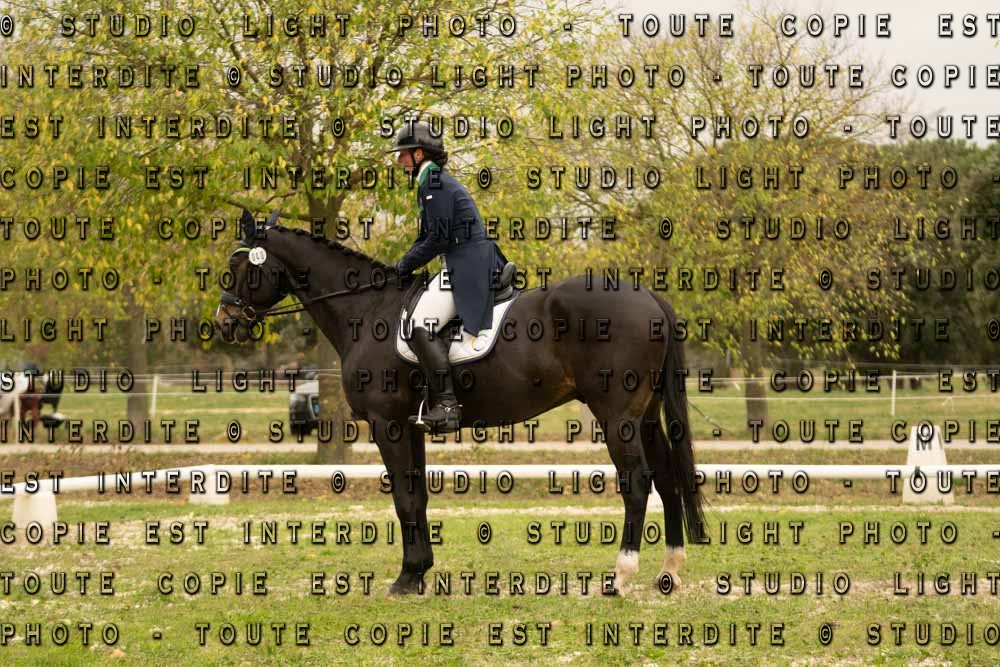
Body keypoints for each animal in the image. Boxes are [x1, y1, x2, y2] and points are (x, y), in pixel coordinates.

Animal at [214, 210, 704, 595]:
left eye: (240, 265)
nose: (224, 323)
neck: (368, 311)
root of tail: (649, 297)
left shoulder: (387, 424)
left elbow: (404, 499)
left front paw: (405, 578)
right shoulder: (411, 425)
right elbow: (418, 496)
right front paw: (418, 573)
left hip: (617, 416)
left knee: (637, 482)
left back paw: (619, 577)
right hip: (645, 416)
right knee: (666, 478)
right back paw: (669, 572)